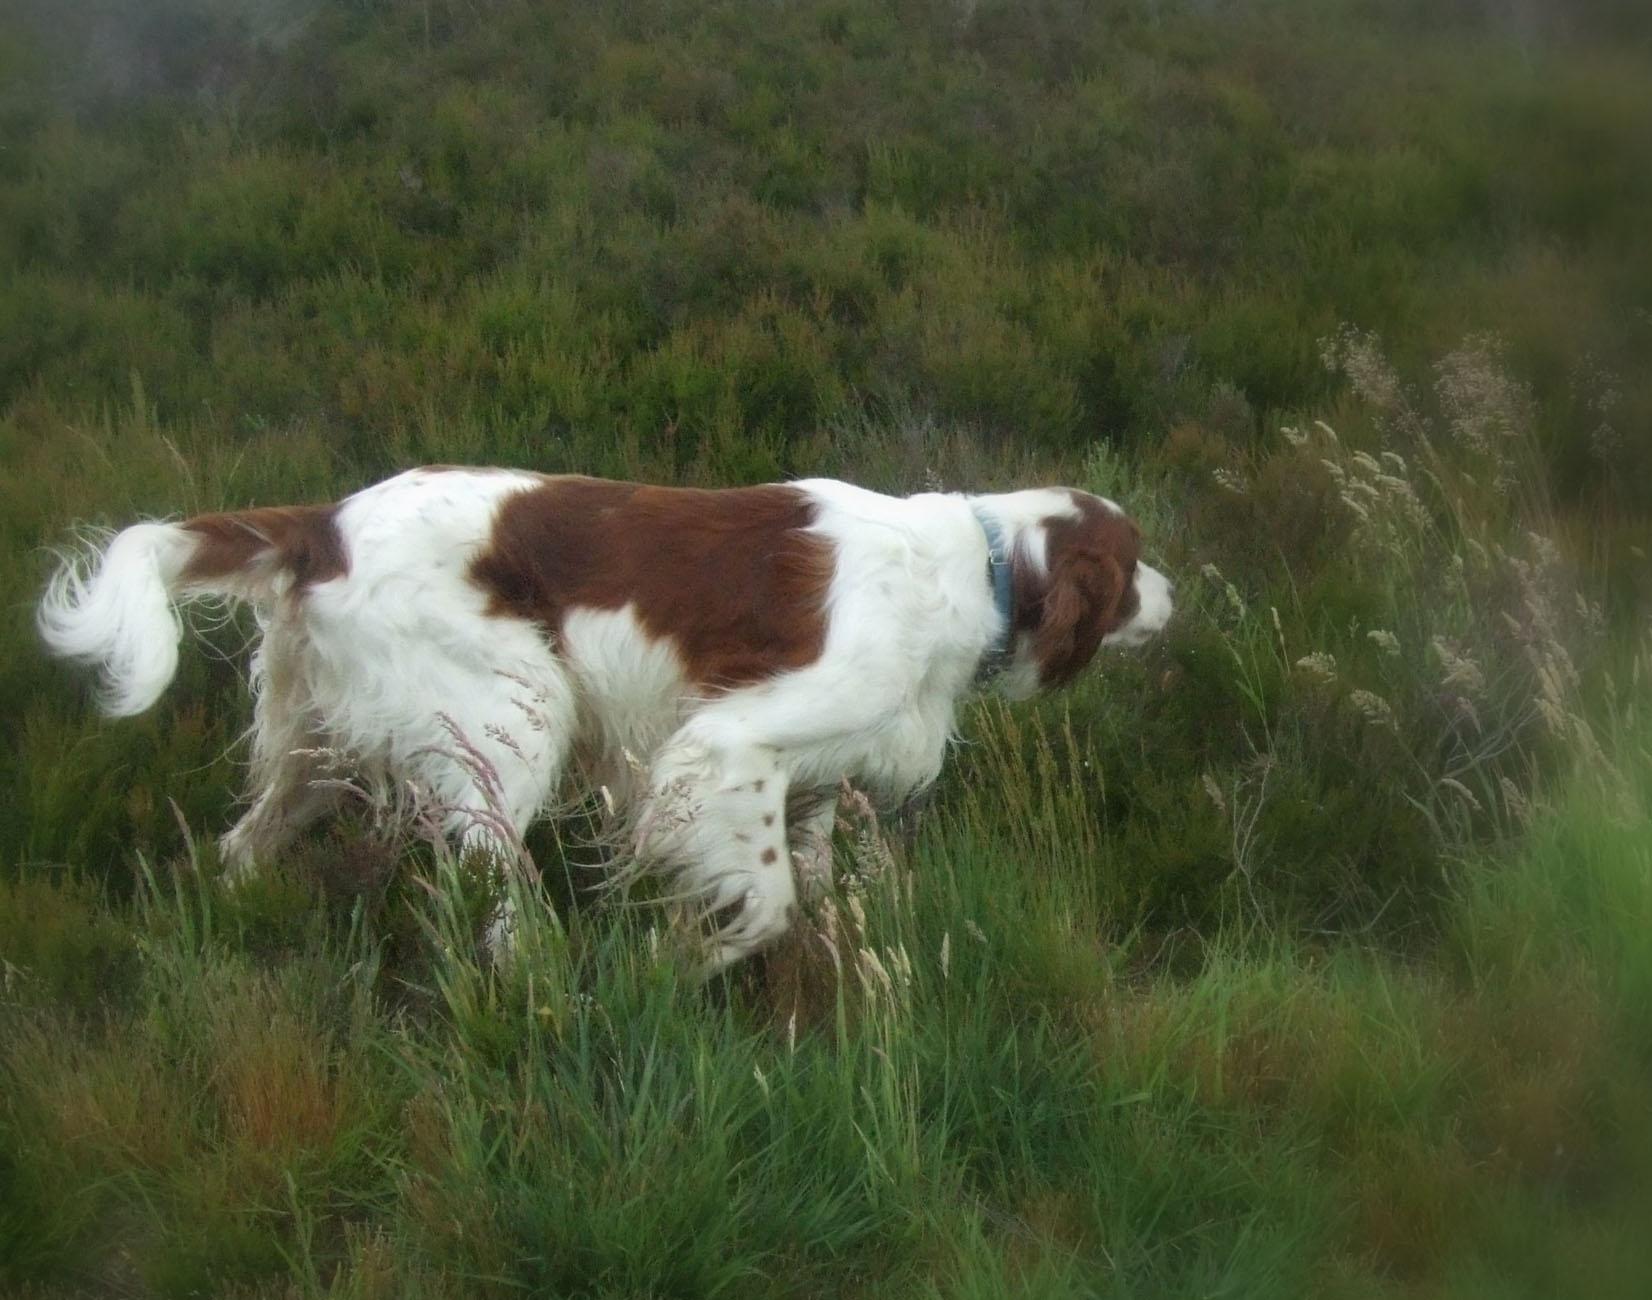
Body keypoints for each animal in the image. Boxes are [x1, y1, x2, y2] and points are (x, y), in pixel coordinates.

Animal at [38, 469, 1176, 964]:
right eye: (1130, 567)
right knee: (494, 877)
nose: (1177, 594)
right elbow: (767, 900)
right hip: (514, 714)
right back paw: (539, 975)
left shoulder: (812, 779)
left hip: (323, 748)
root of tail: (323, 524)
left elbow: (828, 891)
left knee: (240, 844)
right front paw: (690, 957)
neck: (980, 567)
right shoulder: (727, 742)